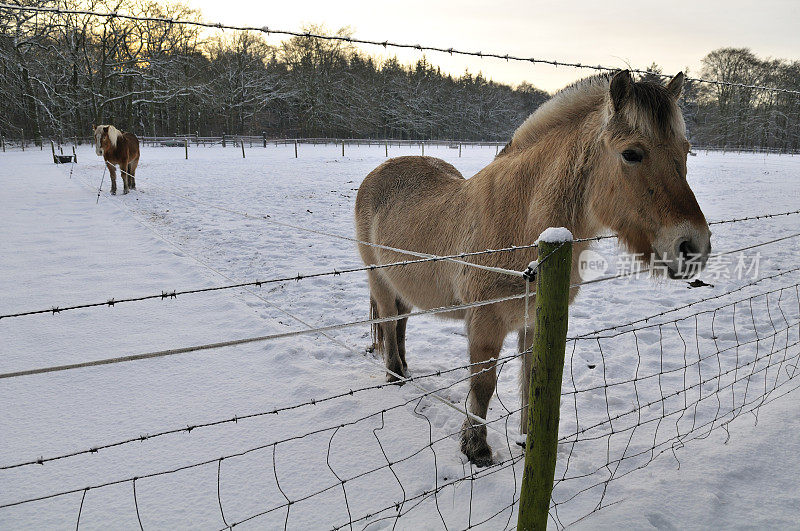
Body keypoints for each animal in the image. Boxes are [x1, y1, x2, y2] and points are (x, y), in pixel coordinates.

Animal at [356, 70, 712, 466]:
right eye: (631, 153)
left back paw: (403, 369)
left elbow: (532, 380)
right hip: (379, 279)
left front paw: (528, 441)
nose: (691, 246)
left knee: (401, 321)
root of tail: (381, 170)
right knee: (389, 322)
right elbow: (483, 385)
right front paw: (476, 449)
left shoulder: (533, 324)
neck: (522, 225)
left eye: (685, 151)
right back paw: (394, 376)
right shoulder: (485, 324)